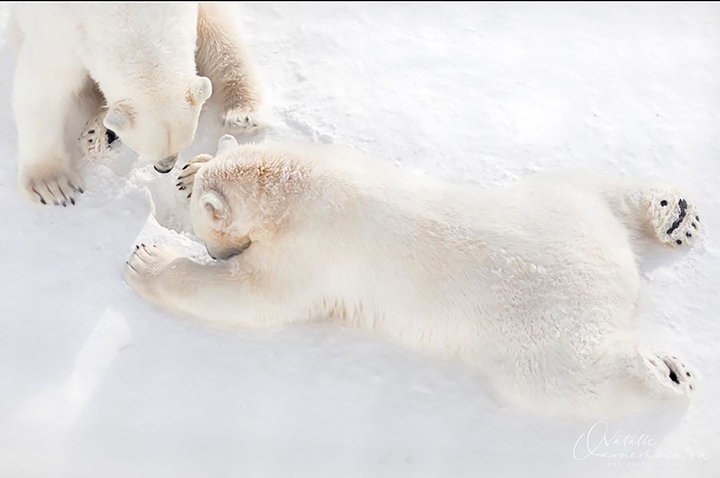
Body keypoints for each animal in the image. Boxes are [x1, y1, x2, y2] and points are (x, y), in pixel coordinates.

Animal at [8, 3, 262, 205]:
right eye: (146, 148)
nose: (165, 167)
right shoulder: (58, 28)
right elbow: (43, 86)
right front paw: (52, 185)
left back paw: (241, 113)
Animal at [126, 134, 700, 414]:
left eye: (207, 232)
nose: (214, 248)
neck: (299, 187)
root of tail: (616, 278)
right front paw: (192, 167)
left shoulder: (311, 253)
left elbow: (250, 296)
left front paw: (146, 259)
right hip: (560, 206)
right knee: (595, 186)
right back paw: (675, 213)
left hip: (541, 335)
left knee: (571, 379)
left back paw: (670, 373)